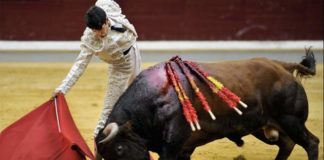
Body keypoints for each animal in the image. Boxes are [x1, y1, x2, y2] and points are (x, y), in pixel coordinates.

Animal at [95, 50, 318, 160]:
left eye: (119, 149)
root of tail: (281, 66)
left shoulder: (173, 146)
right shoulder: (182, 150)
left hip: (290, 120)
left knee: (311, 143)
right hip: (262, 126)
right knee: (287, 144)